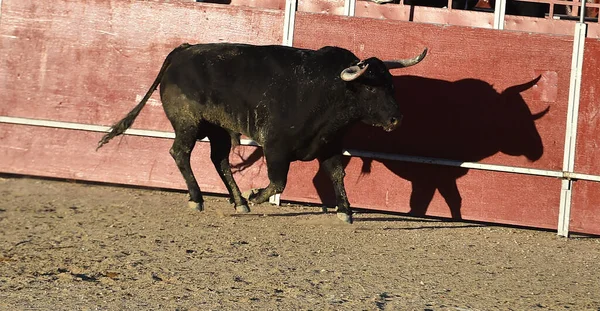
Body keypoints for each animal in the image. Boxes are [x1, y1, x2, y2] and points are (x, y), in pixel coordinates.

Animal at [97, 44, 426, 224]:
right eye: (371, 87)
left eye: (392, 85)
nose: (396, 119)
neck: (328, 90)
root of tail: (184, 50)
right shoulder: (276, 147)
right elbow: (278, 181)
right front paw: (256, 195)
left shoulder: (330, 144)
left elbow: (336, 175)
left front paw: (345, 211)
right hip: (187, 123)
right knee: (180, 153)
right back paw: (198, 198)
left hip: (218, 129)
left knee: (219, 160)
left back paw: (238, 201)